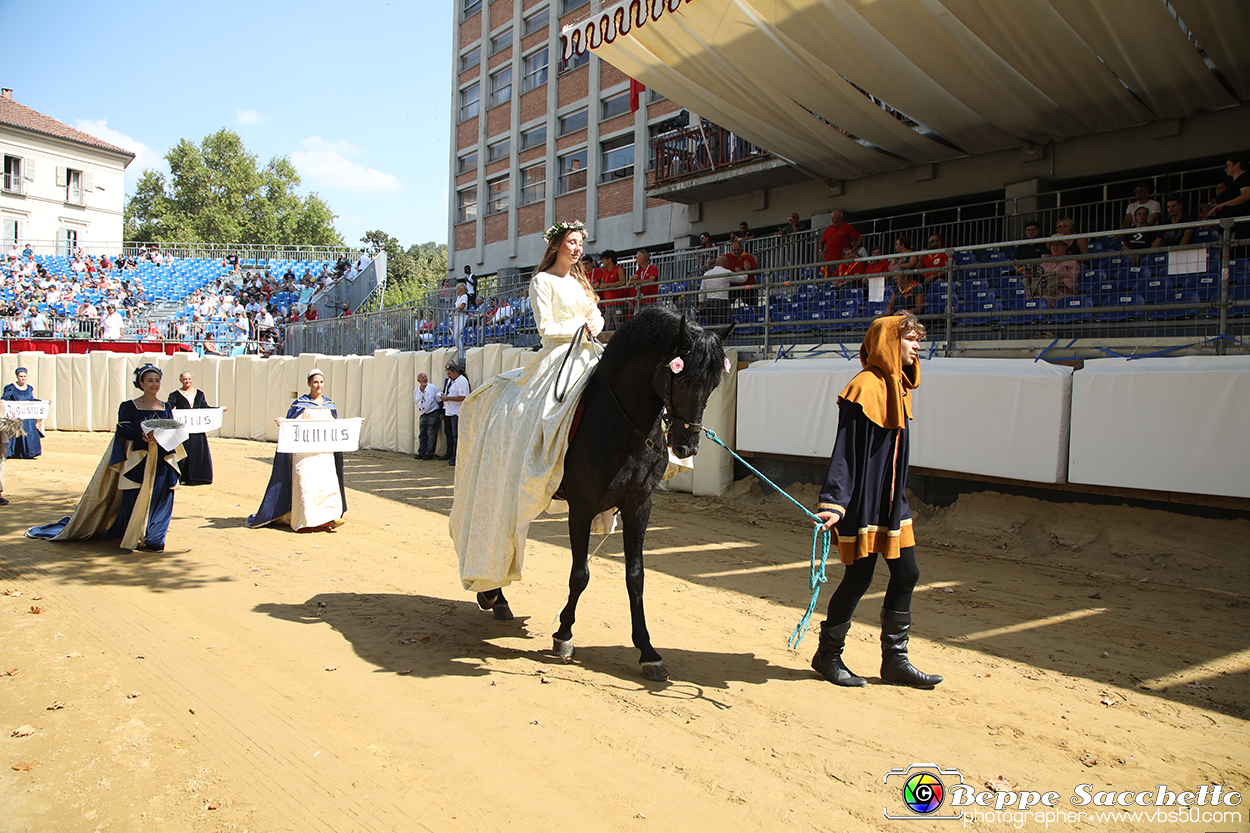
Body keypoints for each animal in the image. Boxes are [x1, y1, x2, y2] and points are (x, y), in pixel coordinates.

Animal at [475, 306, 730, 680]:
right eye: (682, 380)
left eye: (713, 385)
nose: (687, 447)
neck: (623, 427)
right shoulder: (581, 508)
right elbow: (580, 574)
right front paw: (564, 634)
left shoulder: (640, 506)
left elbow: (636, 577)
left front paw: (648, 652)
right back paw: (491, 594)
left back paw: (497, 599)